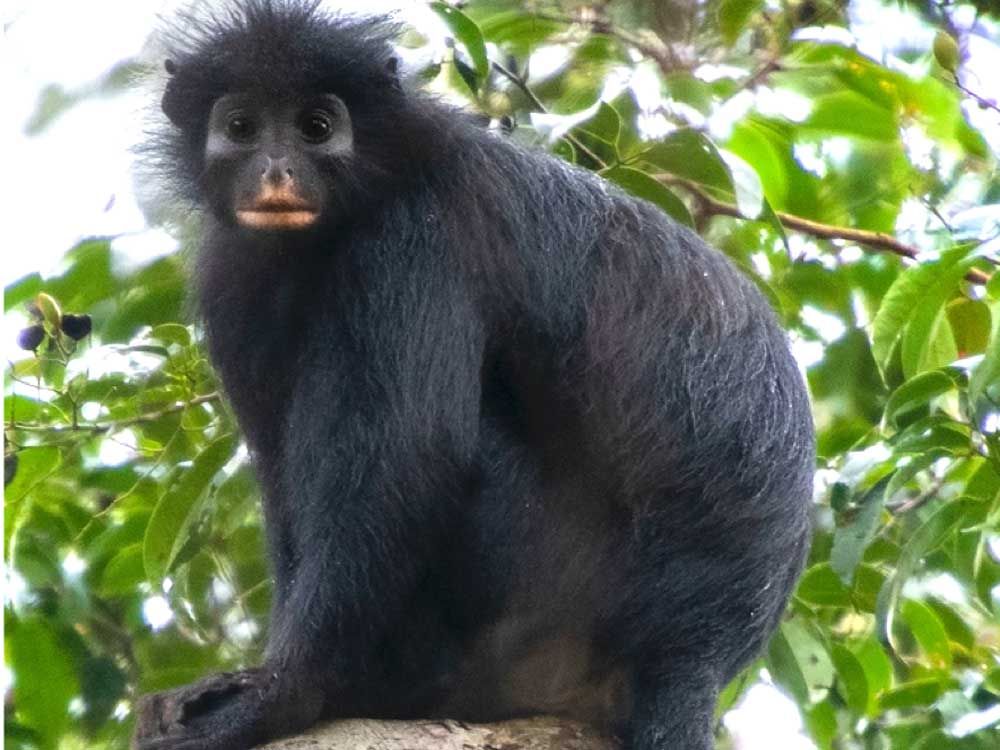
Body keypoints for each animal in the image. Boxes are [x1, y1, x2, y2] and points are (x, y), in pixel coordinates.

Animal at [132, 2, 814, 749]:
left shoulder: (413, 239)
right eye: (241, 128)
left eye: (316, 128)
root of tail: (697, 652)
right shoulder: (234, 277)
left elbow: (407, 460)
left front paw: (285, 693)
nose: (277, 170)